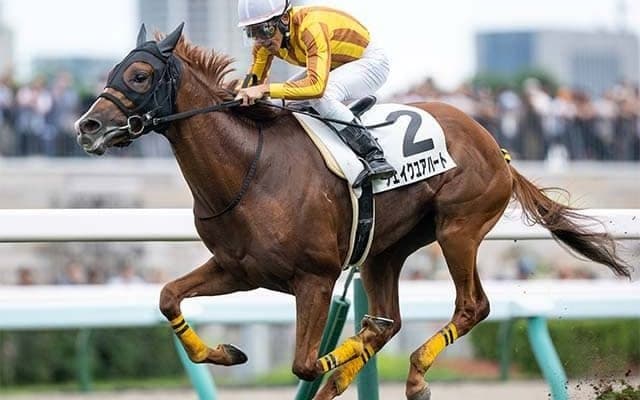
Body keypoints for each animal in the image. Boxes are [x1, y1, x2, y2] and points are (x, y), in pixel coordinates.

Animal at [74, 24, 632, 400]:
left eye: (140, 74)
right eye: (112, 71)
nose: (86, 127)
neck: (248, 168)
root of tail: (496, 146)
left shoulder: (314, 279)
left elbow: (304, 363)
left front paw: (330, 362)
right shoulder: (238, 268)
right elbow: (168, 296)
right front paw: (226, 353)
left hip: (459, 229)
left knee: (471, 307)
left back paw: (414, 376)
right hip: (385, 250)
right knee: (387, 322)